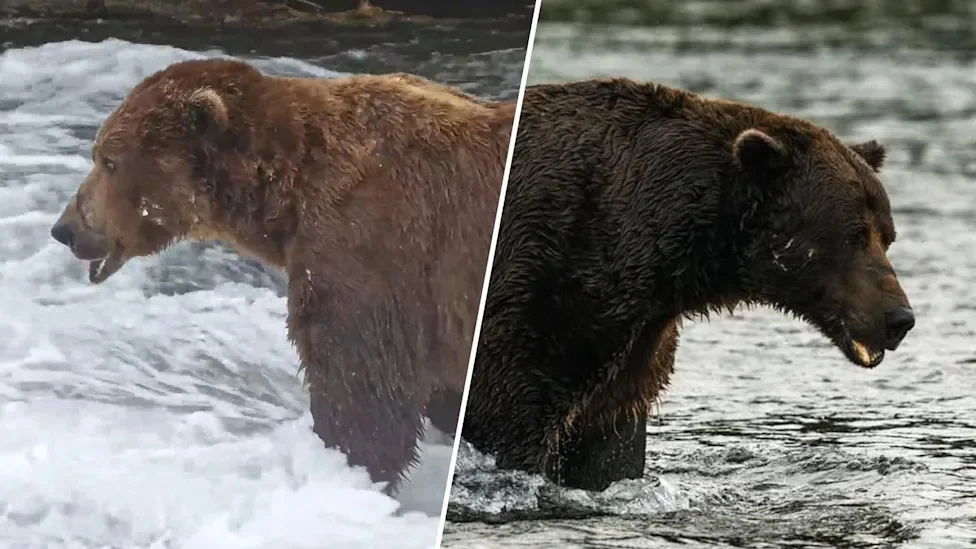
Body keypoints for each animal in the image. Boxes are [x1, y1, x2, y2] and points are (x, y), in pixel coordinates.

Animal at [48, 58, 516, 492]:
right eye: (98, 154)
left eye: (109, 160)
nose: (65, 229)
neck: (287, 193)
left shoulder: (369, 247)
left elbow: (361, 385)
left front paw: (344, 468)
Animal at [458, 78, 916, 492]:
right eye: (853, 235)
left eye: (888, 236)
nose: (899, 318)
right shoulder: (543, 295)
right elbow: (511, 416)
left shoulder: (633, 350)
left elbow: (609, 446)